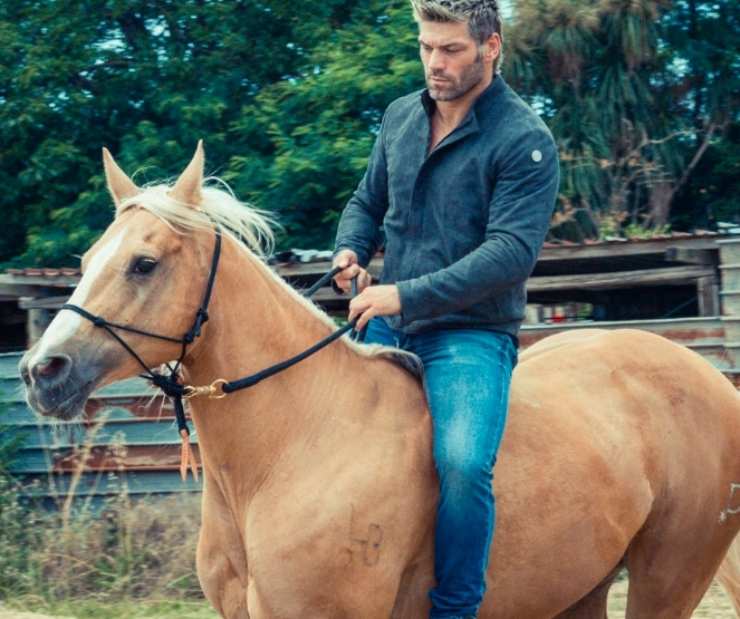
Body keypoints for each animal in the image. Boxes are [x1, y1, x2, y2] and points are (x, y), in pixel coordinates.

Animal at [19, 143, 740, 618]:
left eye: (144, 263)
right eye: (88, 258)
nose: (41, 371)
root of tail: (709, 379)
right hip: (578, 588)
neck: (292, 447)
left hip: (667, 578)